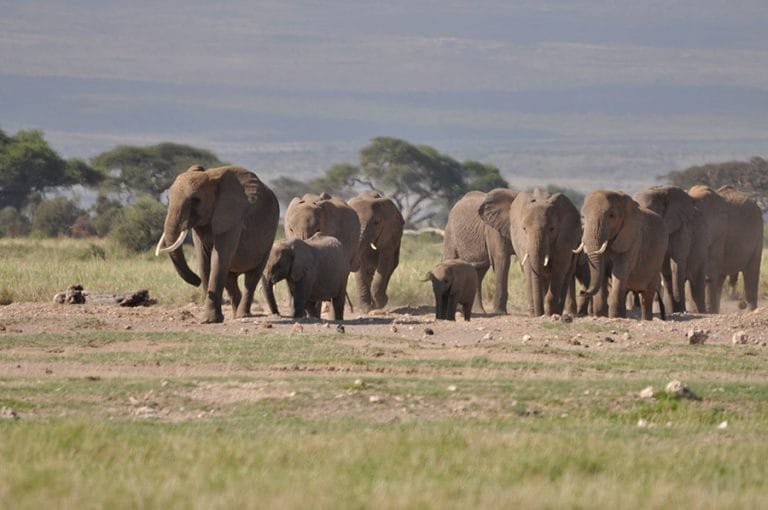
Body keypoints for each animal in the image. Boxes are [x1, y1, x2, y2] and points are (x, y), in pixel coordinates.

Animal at [155, 165, 279, 323]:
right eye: (168, 199)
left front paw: (209, 320)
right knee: (230, 279)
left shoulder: (232, 219)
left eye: (196, 200)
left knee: (251, 278)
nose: (196, 281)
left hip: (269, 238)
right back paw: (235, 314)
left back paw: (242, 315)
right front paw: (210, 319)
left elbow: (218, 259)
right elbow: (204, 262)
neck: (211, 176)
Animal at [479, 188, 581, 317]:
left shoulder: (565, 237)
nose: (540, 313)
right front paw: (536, 314)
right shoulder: (520, 239)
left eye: (552, 229)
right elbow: (528, 268)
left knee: (567, 274)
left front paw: (549, 312)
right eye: (524, 229)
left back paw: (556, 311)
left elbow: (559, 268)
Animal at [577, 190, 668, 320]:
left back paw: (646, 319)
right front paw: (602, 315)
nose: (582, 292)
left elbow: (619, 272)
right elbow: (602, 272)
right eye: (583, 217)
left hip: (657, 264)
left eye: (611, 216)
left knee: (646, 297)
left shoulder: (632, 240)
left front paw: (615, 317)